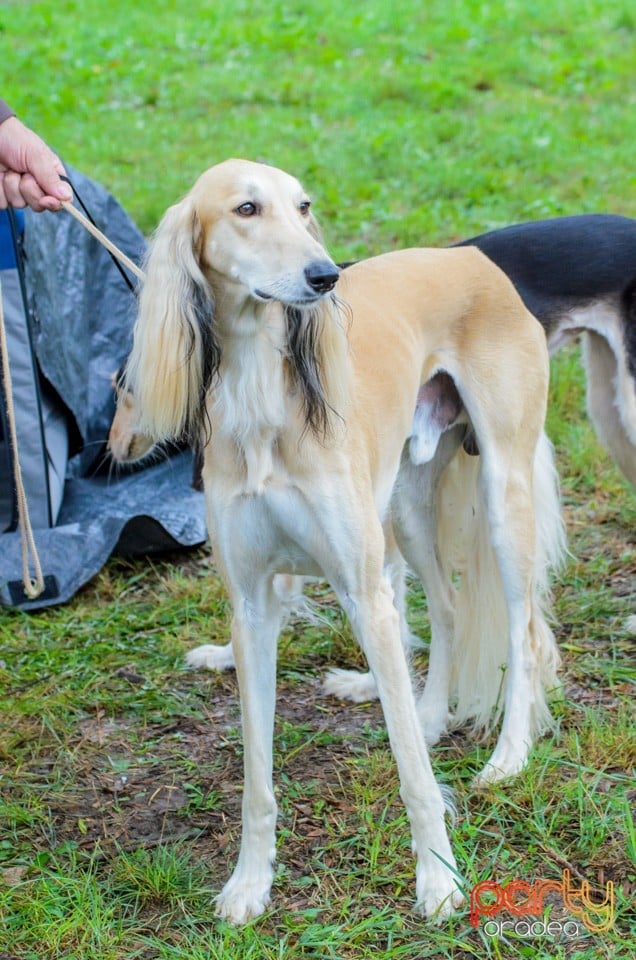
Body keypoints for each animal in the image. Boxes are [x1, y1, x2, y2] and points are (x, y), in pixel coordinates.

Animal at [126, 158, 564, 924]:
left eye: (304, 206)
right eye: (246, 208)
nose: (325, 275)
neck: (261, 403)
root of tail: (472, 258)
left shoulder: (361, 588)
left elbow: (413, 772)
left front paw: (440, 882)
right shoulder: (252, 607)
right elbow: (257, 777)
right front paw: (250, 883)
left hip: (501, 492)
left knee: (524, 630)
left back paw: (507, 757)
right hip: (407, 506)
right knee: (448, 610)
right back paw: (431, 713)